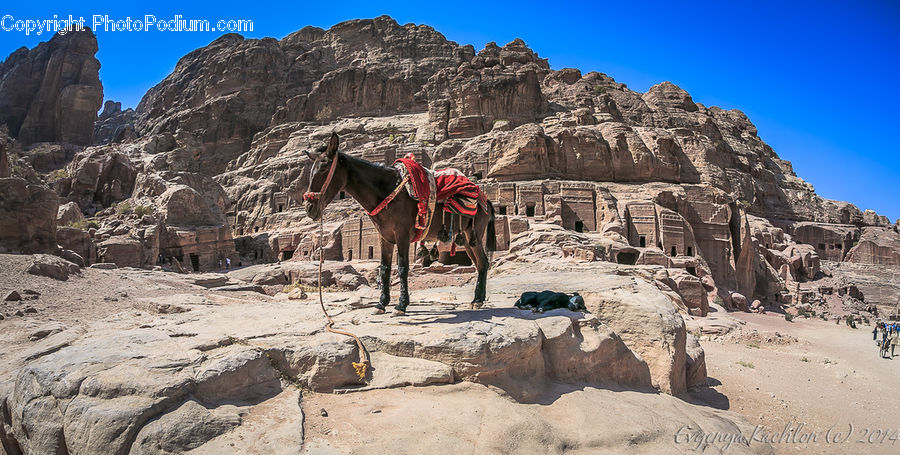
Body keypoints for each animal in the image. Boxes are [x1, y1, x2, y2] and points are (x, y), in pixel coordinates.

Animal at [303, 133, 496, 316]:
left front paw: (401, 305)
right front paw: (381, 304)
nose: (309, 208)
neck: (385, 192)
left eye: (323, 168)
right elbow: (385, 268)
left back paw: (477, 300)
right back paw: (477, 300)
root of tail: (485, 199)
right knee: (480, 264)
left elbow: (403, 267)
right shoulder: (385, 237)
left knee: (483, 263)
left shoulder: (402, 235)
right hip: (466, 238)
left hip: (475, 236)